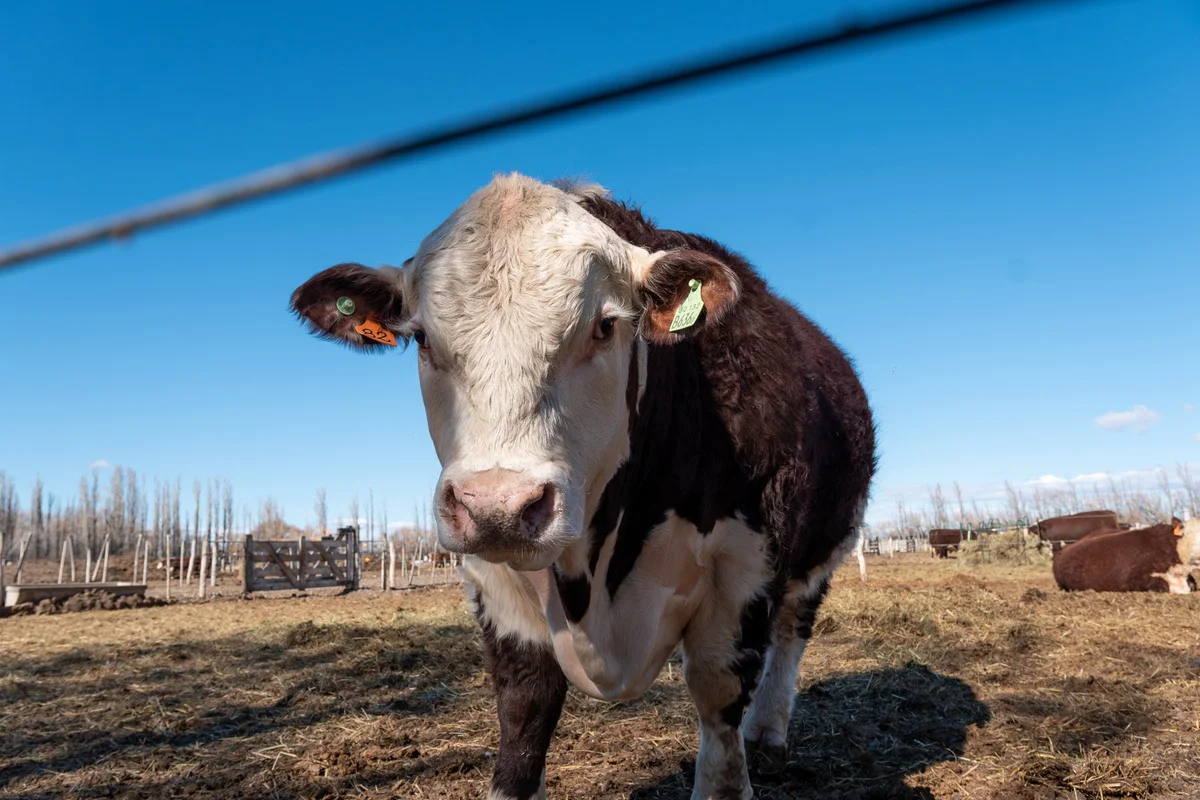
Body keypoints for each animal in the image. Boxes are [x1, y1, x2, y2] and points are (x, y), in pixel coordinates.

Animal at [289, 174, 876, 800]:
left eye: (605, 325)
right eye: (421, 338)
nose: (497, 506)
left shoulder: (747, 568)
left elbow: (720, 698)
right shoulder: (493, 582)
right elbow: (526, 707)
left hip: (821, 554)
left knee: (791, 634)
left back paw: (766, 733)